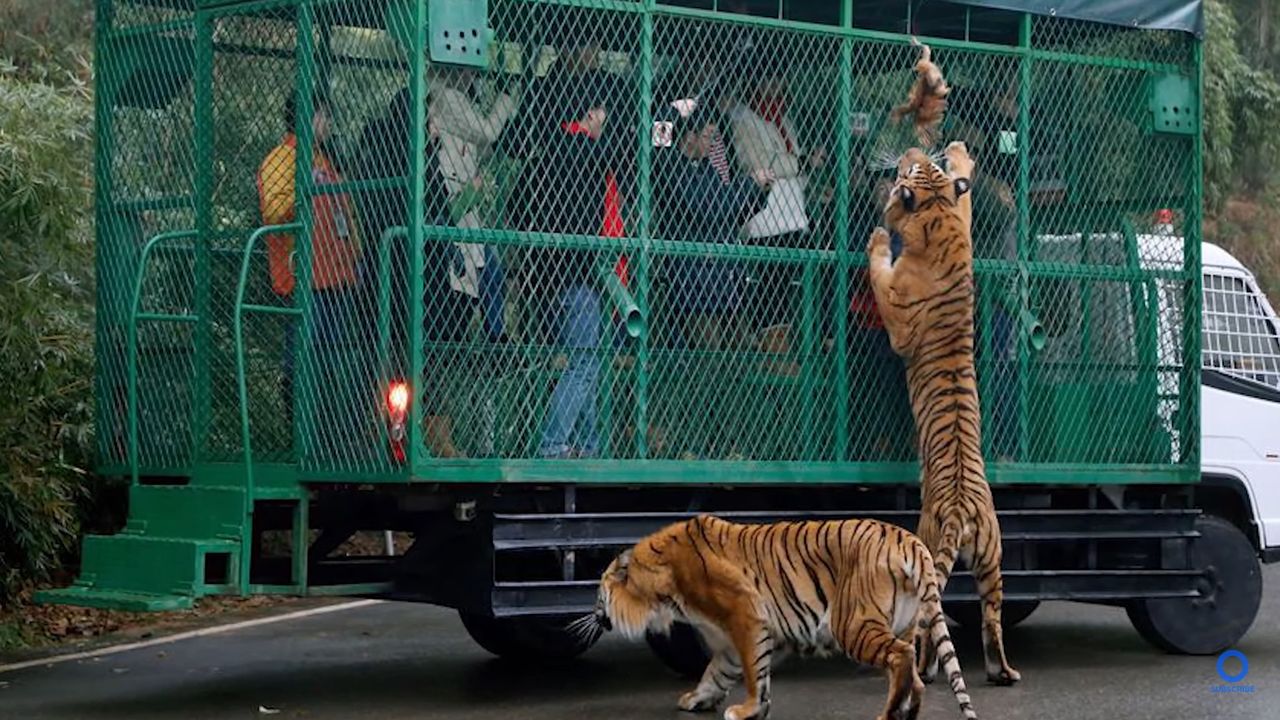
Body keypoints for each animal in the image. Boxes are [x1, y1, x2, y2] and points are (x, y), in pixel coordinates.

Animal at [870, 140, 1018, 681]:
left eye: (911, 168)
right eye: (925, 164)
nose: (912, 147)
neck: (935, 212)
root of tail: (960, 511)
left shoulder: (895, 312)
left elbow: (879, 270)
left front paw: (877, 233)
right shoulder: (963, 218)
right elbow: (969, 198)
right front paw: (961, 154)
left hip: (927, 540)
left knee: (924, 624)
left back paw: (926, 668)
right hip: (995, 557)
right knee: (991, 619)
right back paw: (1003, 673)